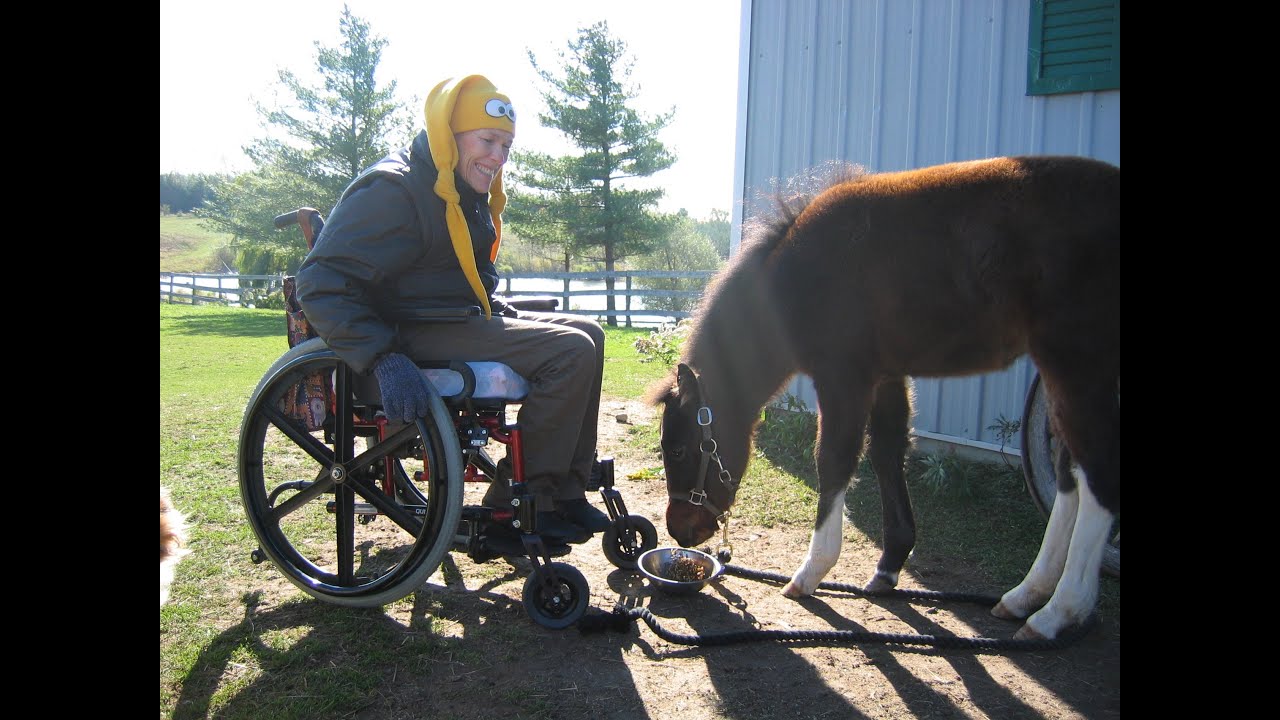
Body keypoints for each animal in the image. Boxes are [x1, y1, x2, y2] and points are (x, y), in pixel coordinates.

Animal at [646, 156, 1119, 640]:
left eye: (679, 449)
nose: (680, 531)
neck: (795, 280)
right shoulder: (889, 376)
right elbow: (887, 454)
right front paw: (889, 567)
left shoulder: (843, 377)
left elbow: (834, 461)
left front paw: (812, 571)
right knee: (1070, 478)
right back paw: (1026, 596)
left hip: (1075, 364)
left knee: (1098, 476)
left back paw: (1059, 611)